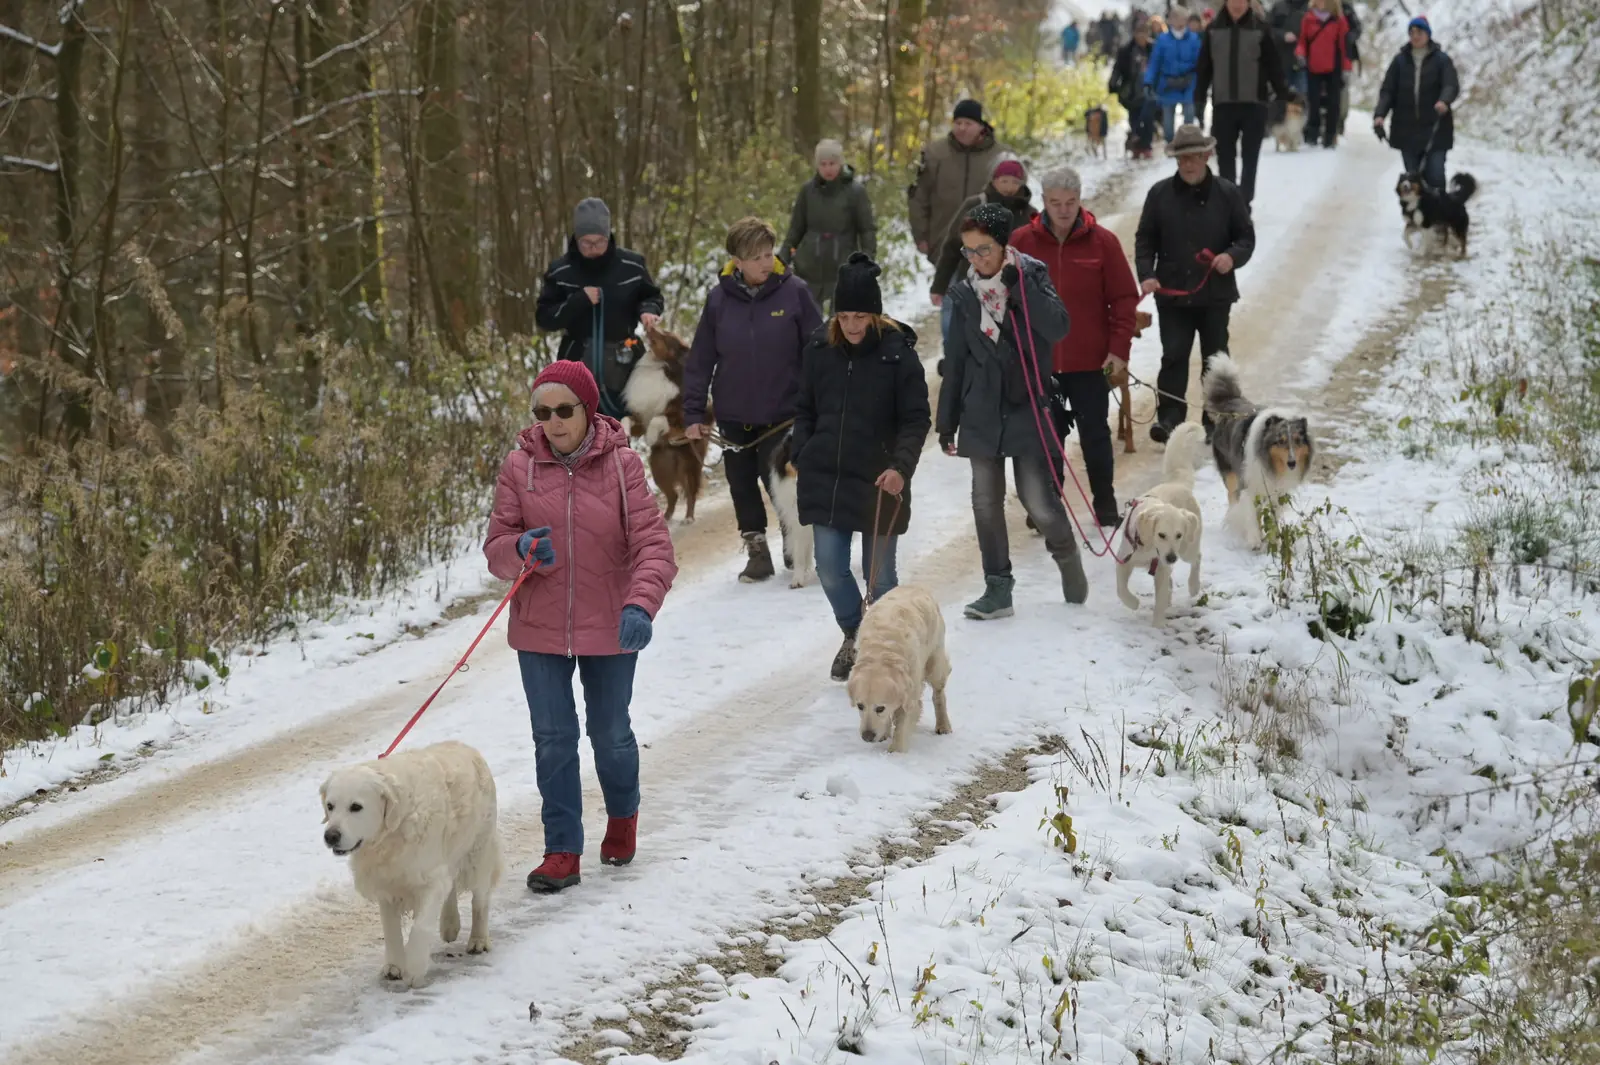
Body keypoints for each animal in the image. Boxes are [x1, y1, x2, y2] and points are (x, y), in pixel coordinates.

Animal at [321, 740, 503, 988]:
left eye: (356, 807)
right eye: (330, 806)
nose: (330, 836)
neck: (393, 832)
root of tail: (465, 746)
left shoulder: (429, 879)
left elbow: (420, 926)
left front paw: (414, 967)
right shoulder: (387, 884)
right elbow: (390, 930)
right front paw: (394, 965)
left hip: (478, 853)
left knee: (480, 900)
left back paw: (478, 939)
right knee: (451, 888)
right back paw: (449, 925)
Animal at [624, 324, 711, 523]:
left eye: (665, 335)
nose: (648, 325)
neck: (659, 366)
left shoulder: (679, 418)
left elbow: (659, 418)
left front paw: (650, 437)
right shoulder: (641, 417)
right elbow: (627, 419)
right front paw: (621, 430)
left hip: (690, 464)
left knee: (690, 492)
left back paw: (689, 517)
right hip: (659, 470)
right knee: (674, 495)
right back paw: (665, 517)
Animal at [847, 585, 952, 753]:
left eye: (880, 708)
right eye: (860, 706)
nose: (867, 737)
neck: (882, 651)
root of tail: (915, 587)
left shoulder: (911, 695)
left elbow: (902, 725)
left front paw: (895, 752)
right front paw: (884, 733)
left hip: (934, 663)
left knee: (939, 694)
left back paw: (943, 725)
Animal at [1115, 422, 1206, 626]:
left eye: (1178, 534)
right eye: (1161, 535)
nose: (1171, 558)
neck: (1147, 547)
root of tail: (1178, 484)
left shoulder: (1162, 568)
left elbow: (1160, 599)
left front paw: (1157, 625)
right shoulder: (1124, 560)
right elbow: (1121, 589)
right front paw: (1133, 603)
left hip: (1187, 548)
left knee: (1197, 557)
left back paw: (1194, 586)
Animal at [1202, 353, 1315, 549]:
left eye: (1297, 441)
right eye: (1280, 441)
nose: (1292, 463)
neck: (1269, 461)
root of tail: (1232, 400)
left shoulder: (1276, 490)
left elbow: (1272, 516)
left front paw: (1273, 541)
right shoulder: (1249, 482)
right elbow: (1251, 513)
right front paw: (1254, 540)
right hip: (1231, 473)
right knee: (1233, 499)